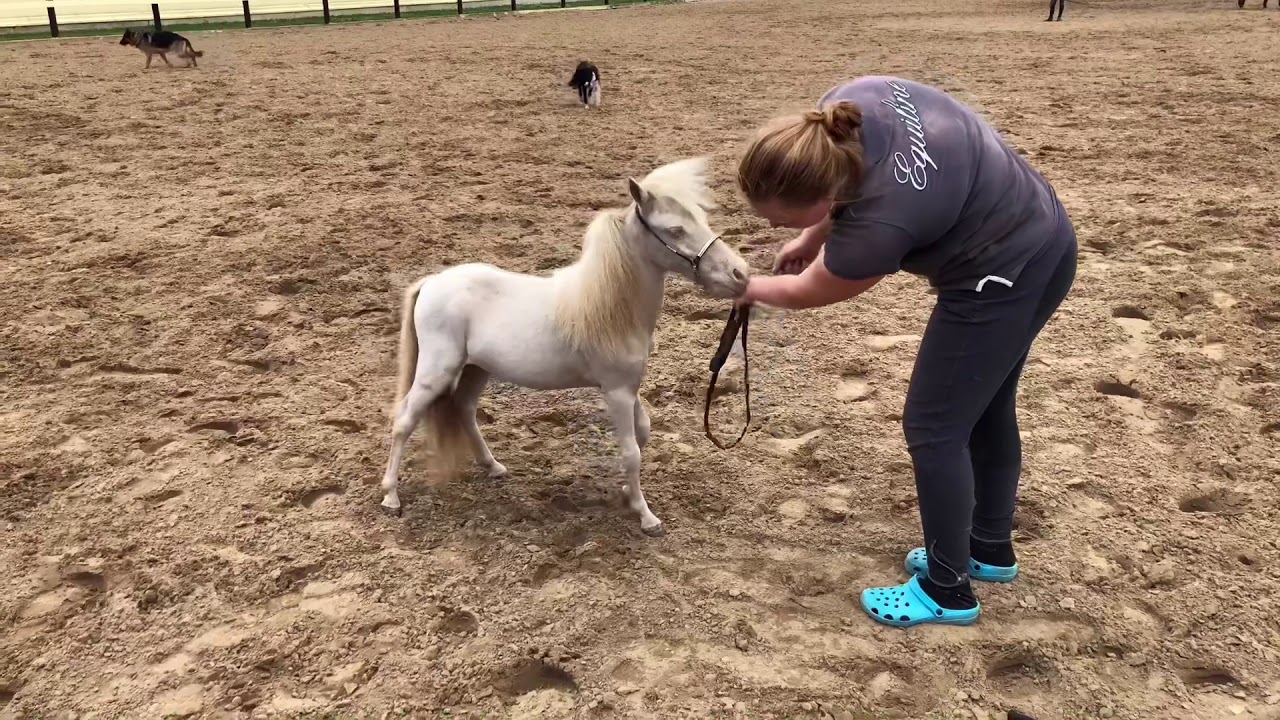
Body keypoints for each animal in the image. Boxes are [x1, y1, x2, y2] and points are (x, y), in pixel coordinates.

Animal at [378, 158, 747, 538]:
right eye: (674, 230)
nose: (740, 273)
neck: (615, 309)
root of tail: (431, 282)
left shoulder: (629, 388)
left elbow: (643, 434)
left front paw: (627, 493)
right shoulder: (616, 392)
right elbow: (632, 452)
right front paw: (646, 517)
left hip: (476, 369)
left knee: (464, 408)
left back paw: (493, 466)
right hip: (437, 370)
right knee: (404, 420)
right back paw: (391, 497)